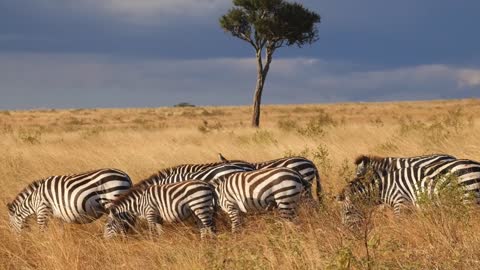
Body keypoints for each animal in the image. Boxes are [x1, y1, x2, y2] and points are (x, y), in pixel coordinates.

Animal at [338, 158, 480, 226]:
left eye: (347, 212)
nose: (345, 232)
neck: (385, 187)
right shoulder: (412, 208)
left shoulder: (399, 203)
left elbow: (400, 225)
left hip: (468, 196)